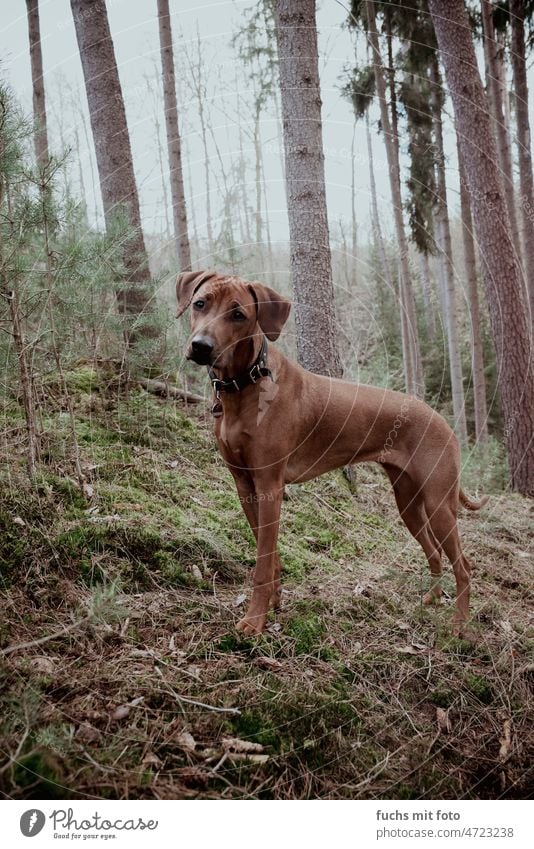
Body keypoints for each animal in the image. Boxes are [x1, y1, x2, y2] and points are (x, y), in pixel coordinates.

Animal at [178, 272, 488, 636]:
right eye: (200, 303)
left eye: (238, 314)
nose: (201, 346)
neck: (247, 383)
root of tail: (444, 422)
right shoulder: (245, 486)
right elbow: (269, 554)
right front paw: (273, 602)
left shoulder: (269, 486)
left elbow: (262, 561)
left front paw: (255, 620)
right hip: (408, 501)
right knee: (435, 551)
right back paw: (432, 598)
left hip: (439, 503)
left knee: (463, 564)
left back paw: (460, 623)